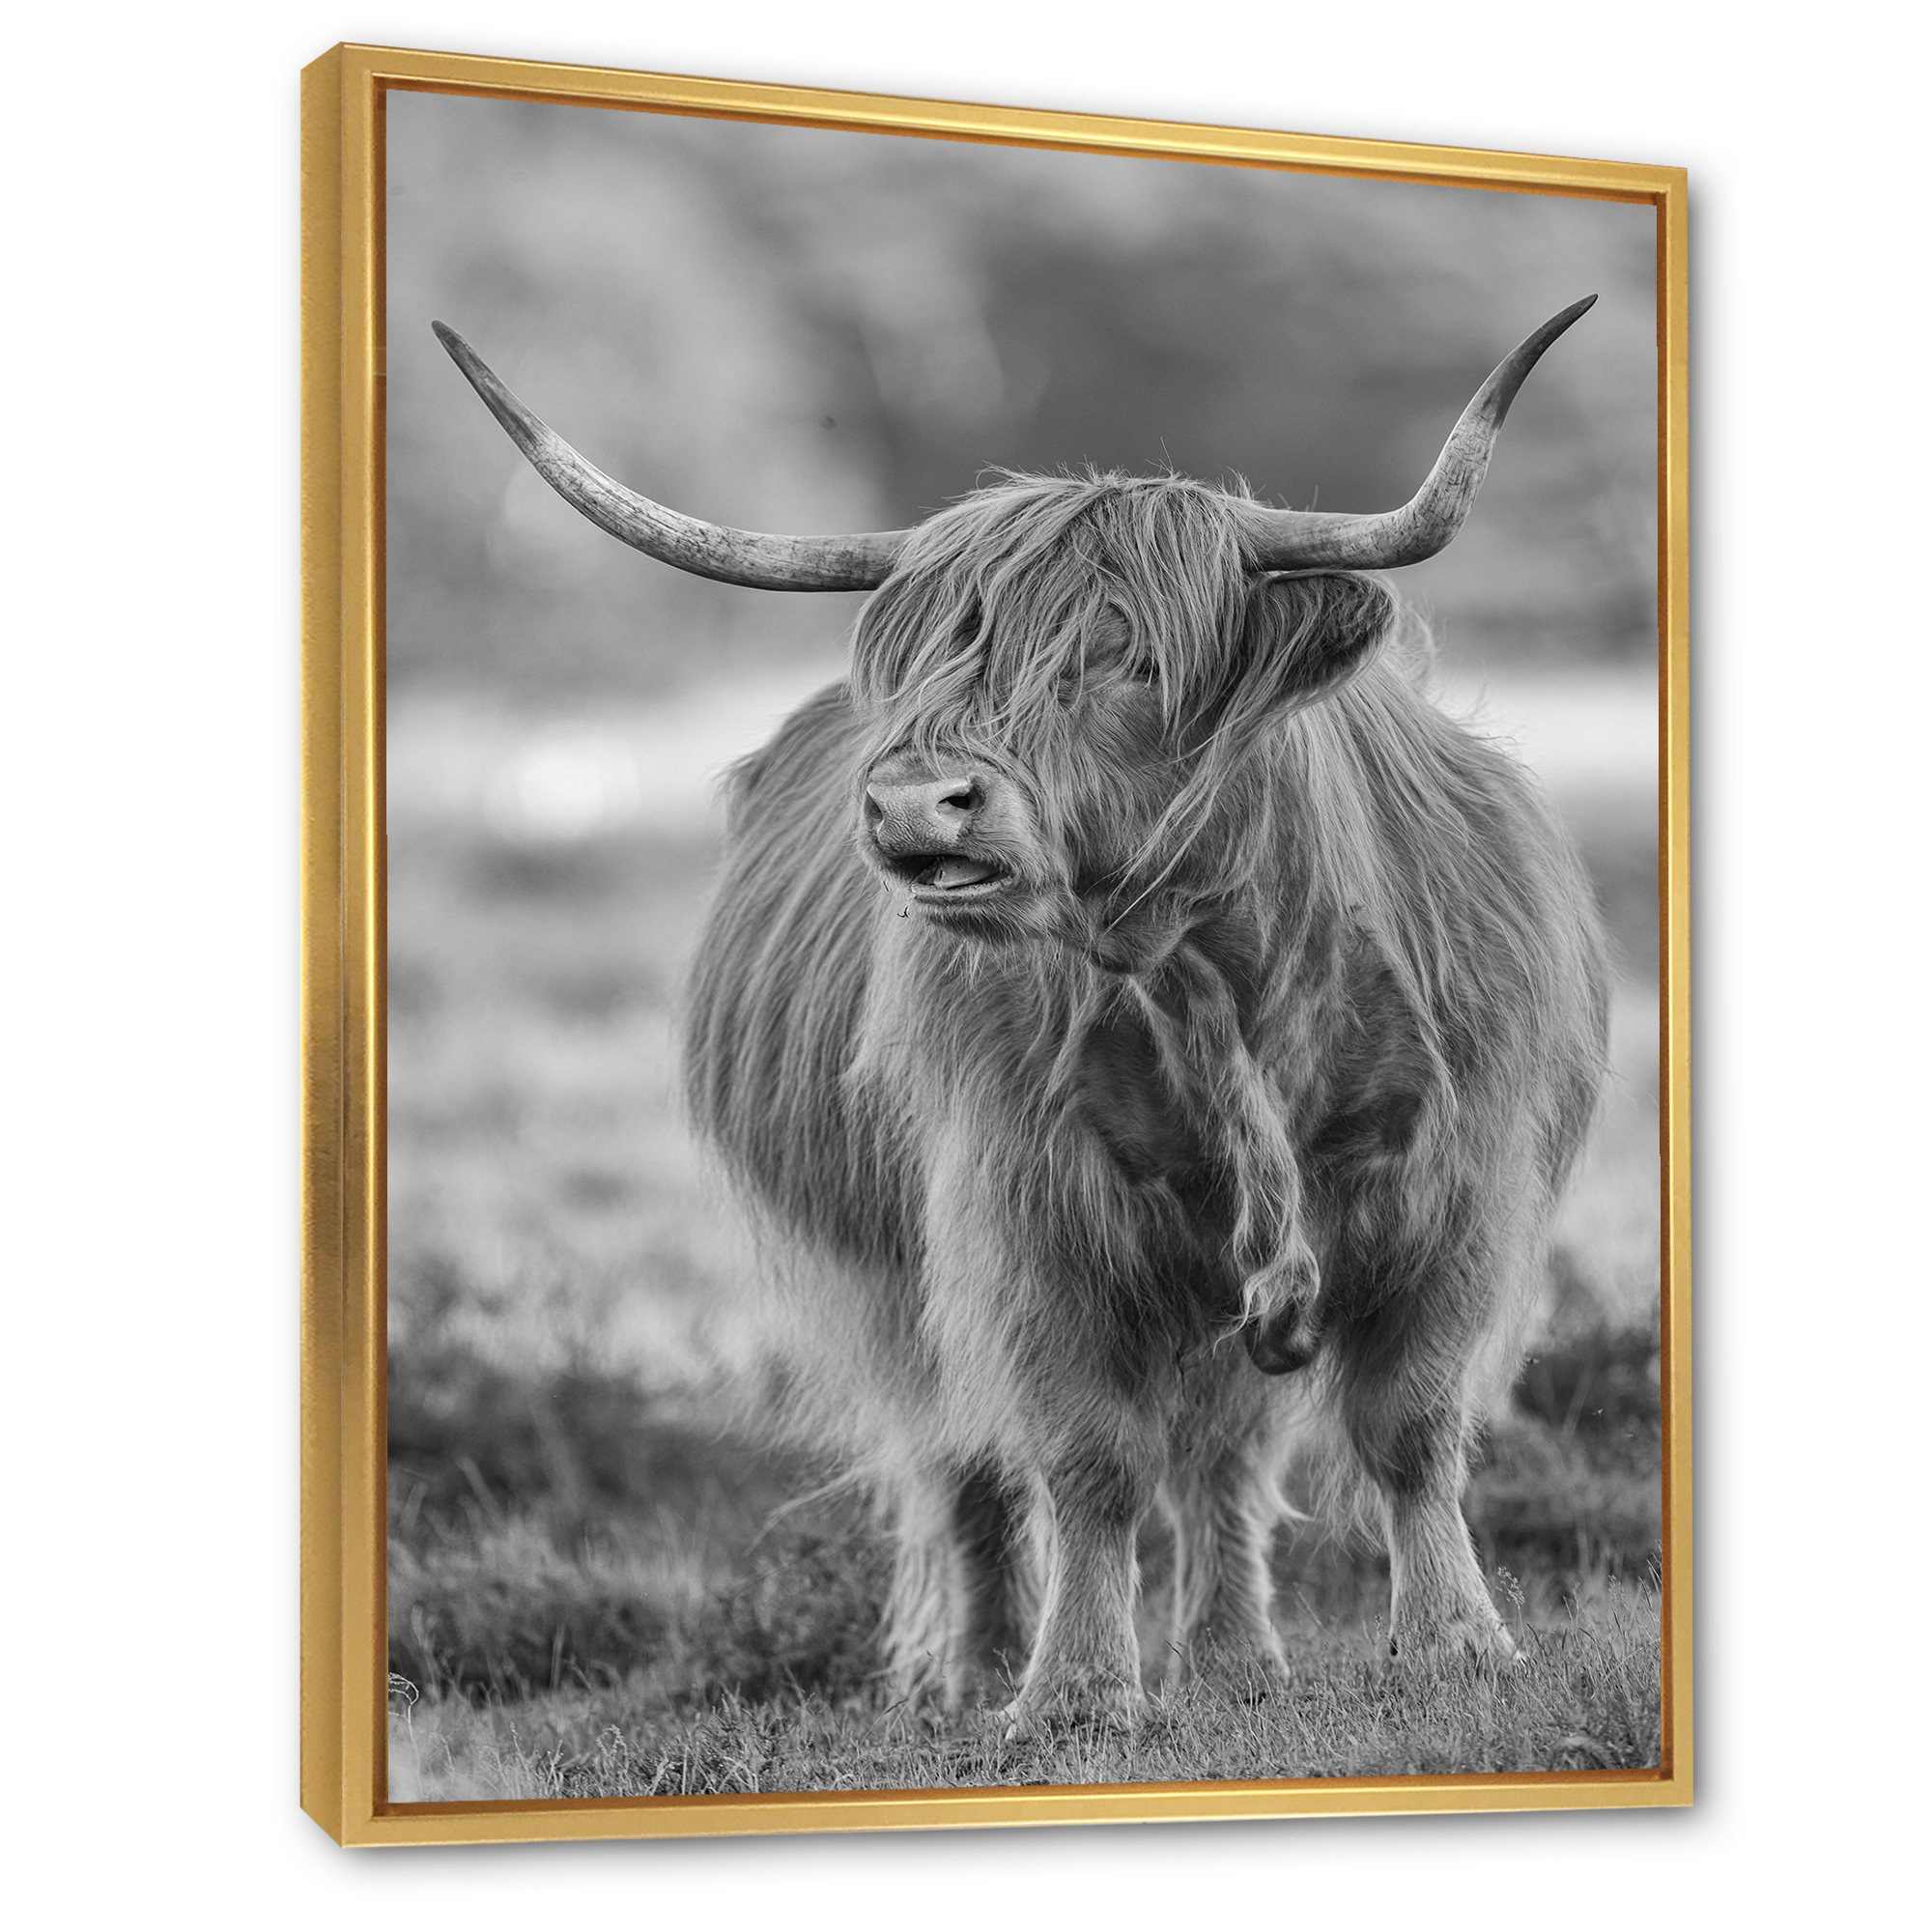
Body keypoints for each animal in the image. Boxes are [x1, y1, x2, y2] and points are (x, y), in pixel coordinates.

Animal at [434, 300, 1611, 1730]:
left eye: (1136, 657)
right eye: (939, 659)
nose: (913, 803)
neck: (1217, 977)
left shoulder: (1456, 1190)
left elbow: (1410, 1426)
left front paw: (1456, 1646)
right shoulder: (1023, 1214)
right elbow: (1083, 1458)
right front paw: (1076, 1689)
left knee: (1222, 1453)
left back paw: (1236, 1655)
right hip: (895, 1279)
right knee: (967, 1459)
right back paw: (973, 1670)